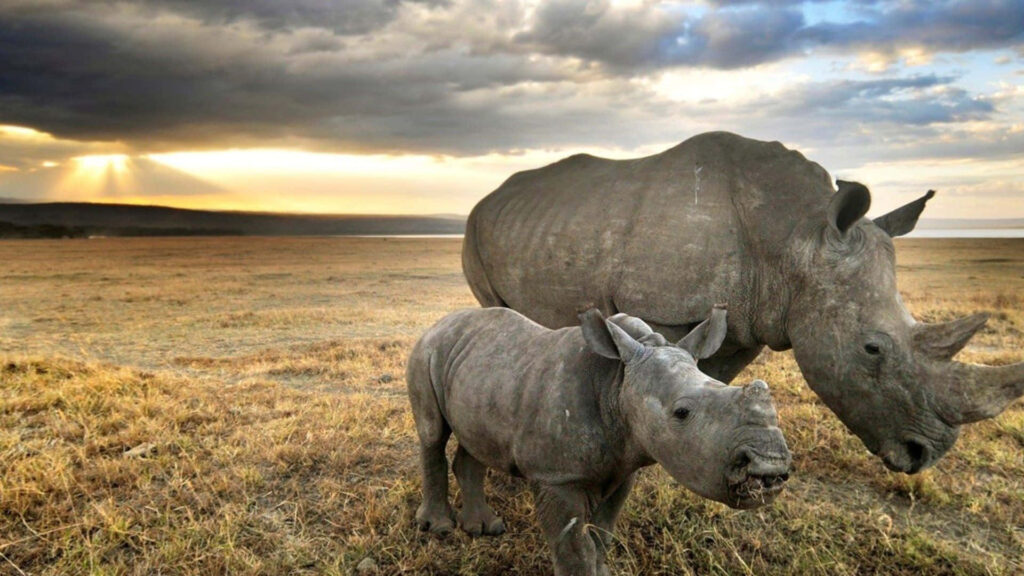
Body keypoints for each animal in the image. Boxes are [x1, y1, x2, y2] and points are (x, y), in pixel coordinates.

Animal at [408, 306, 790, 576]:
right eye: (682, 413)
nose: (770, 465)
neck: (617, 383)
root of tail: (440, 323)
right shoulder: (556, 476)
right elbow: (575, 545)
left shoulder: (624, 465)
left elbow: (602, 534)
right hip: (426, 351)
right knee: (432, 434)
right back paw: (439, 528)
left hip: (481, 370)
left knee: (474, 440)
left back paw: (485, 529)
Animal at [462, 131, 1024, 474]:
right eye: (872, 349)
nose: (925, 454)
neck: (796, 236)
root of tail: (489, 197)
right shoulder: (665, 308)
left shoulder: (756, 316)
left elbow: (710, 381)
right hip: (475, 228)